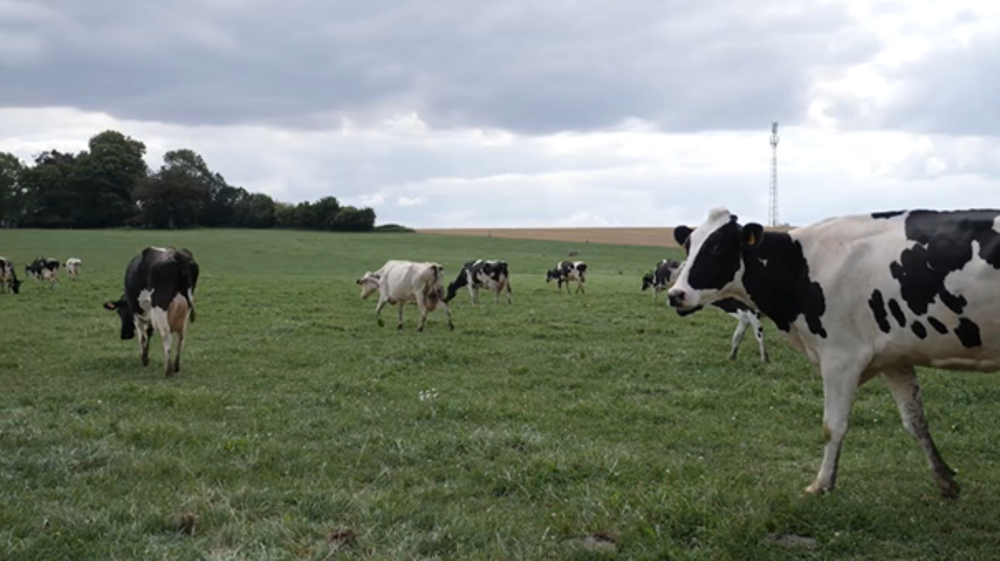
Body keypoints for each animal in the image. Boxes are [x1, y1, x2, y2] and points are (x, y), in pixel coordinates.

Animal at [103, 247, 199, 377]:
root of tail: (176, 254)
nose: (124, 335)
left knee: (166, 334)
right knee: (181, 337)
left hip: (160, 307)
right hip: (186, 309)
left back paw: (168, 370)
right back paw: (176, 367)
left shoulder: (137, 315)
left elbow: (142, 337)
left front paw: (143, 360)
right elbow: (149, 332)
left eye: (120, 312)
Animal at [667, 207, 1000, 499]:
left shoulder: (840, 358)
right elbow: (915, 422)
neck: (800, 266)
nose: (675, 294)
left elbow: (833, 427)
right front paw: (945, 480)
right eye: (688, 246)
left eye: (716, 247)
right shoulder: (895, 358)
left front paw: (822, 485)